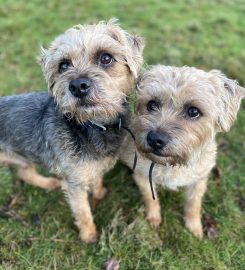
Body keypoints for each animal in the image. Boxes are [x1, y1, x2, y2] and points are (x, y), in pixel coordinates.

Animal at [0, 19, 144, 243]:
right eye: (63, 65)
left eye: (105, 57)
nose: (77, 86)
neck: (93, 126)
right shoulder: (74, 183)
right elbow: (82, 211)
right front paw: (89, 235)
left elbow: (97, 178)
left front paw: (99, 192)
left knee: (25, 173)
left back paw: (48, 182)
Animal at [121, 65, 245, 238]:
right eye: (151, 104)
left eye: (193, 111)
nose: (155, 139)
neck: (172, 164)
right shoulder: (142, 175)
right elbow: (150, 198)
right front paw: (153, 218)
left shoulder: (199, 180)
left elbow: (194, 203)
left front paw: (194, 226)